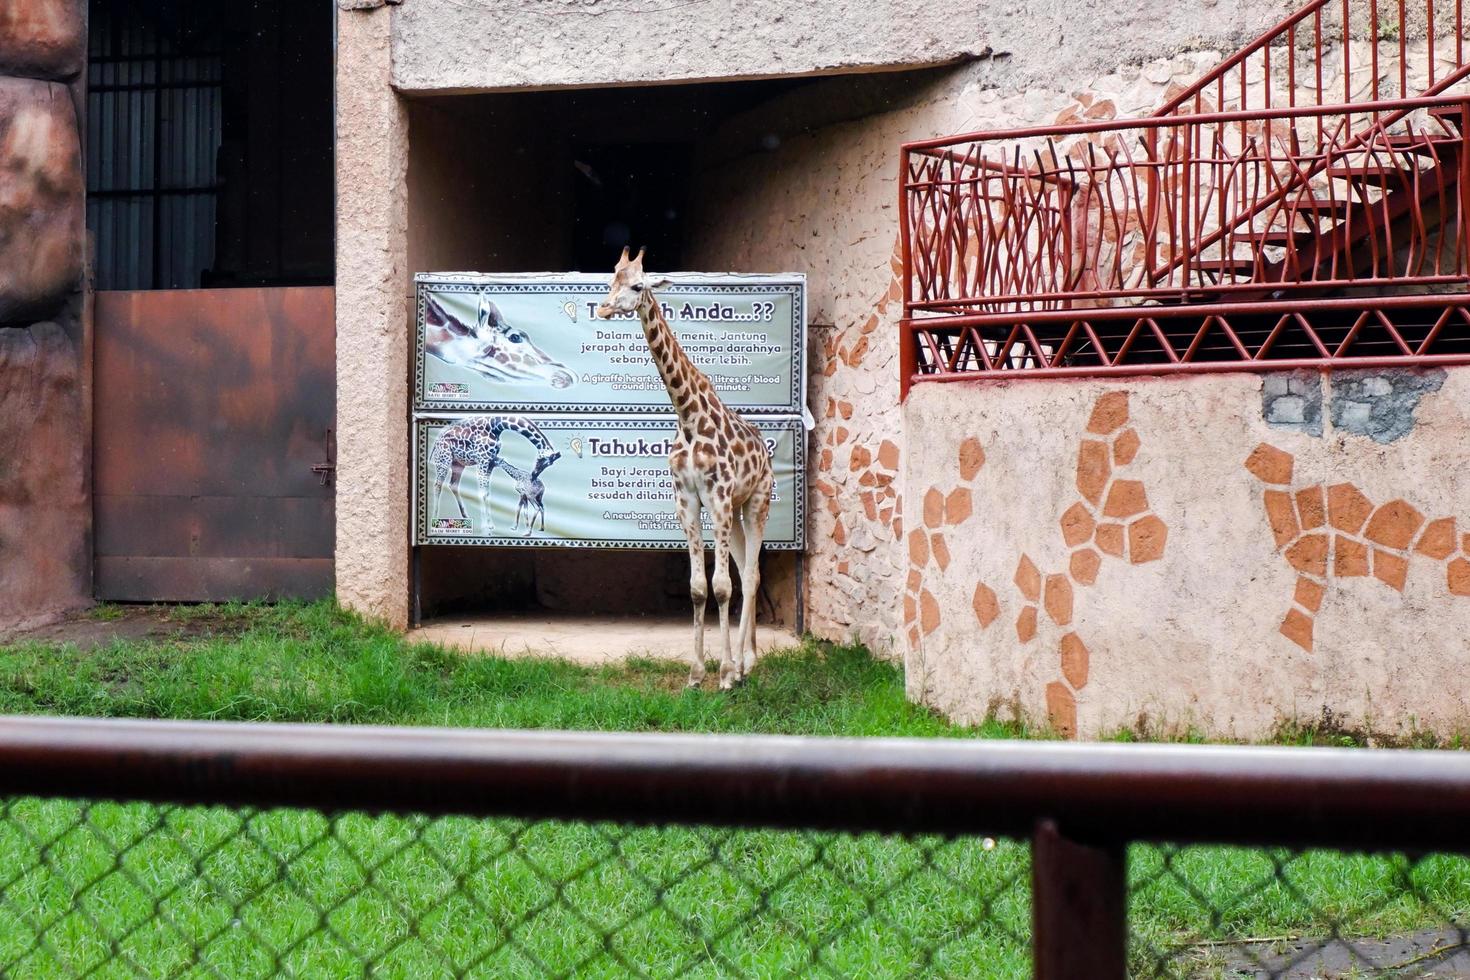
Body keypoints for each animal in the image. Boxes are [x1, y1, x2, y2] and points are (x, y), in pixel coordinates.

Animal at [593, 249, 776, 687]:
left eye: (637, 286)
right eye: (610, 280)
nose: (603, 308)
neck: (689, 418)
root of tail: (764, 447)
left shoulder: (718, 497)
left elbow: (722, 586)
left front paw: (724, 673)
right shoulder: (687, 500)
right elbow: (698, 587)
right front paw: (697, 673)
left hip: (756, 502)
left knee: (752, 575)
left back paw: (746, 664)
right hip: (736, 510)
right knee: (746, 571)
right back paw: (746, 658)